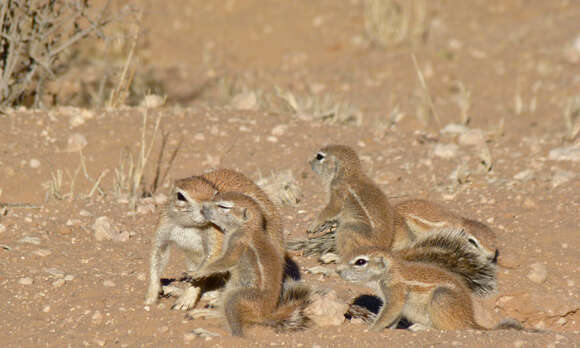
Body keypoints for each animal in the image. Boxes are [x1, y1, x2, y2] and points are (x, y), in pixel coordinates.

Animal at [144, 168, 290, 310]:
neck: (189, 226)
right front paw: (151, 296)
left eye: (215, 194)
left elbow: (210, 262)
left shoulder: (215, 236)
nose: (204, 208)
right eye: (180, 196)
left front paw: (185, 300)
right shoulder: (164, 226)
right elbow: (157, 256)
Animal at [191, 192, 312, 336]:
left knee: (237, 329)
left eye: (224, 206)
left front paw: (198, 272)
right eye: (215, 195)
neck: (247, 227)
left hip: (235, 298)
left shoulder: (237, 243)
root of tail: (265, 315)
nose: (202, 207)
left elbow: (225, 261)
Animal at [336, 247, 520, 332]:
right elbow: (394, 317)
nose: (337, 270)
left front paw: (372, 328)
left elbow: (388, 313)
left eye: (360, 262)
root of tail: (470, 321)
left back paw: (421, 327)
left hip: (441, 297)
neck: (390, 270)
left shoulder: (395, 294)